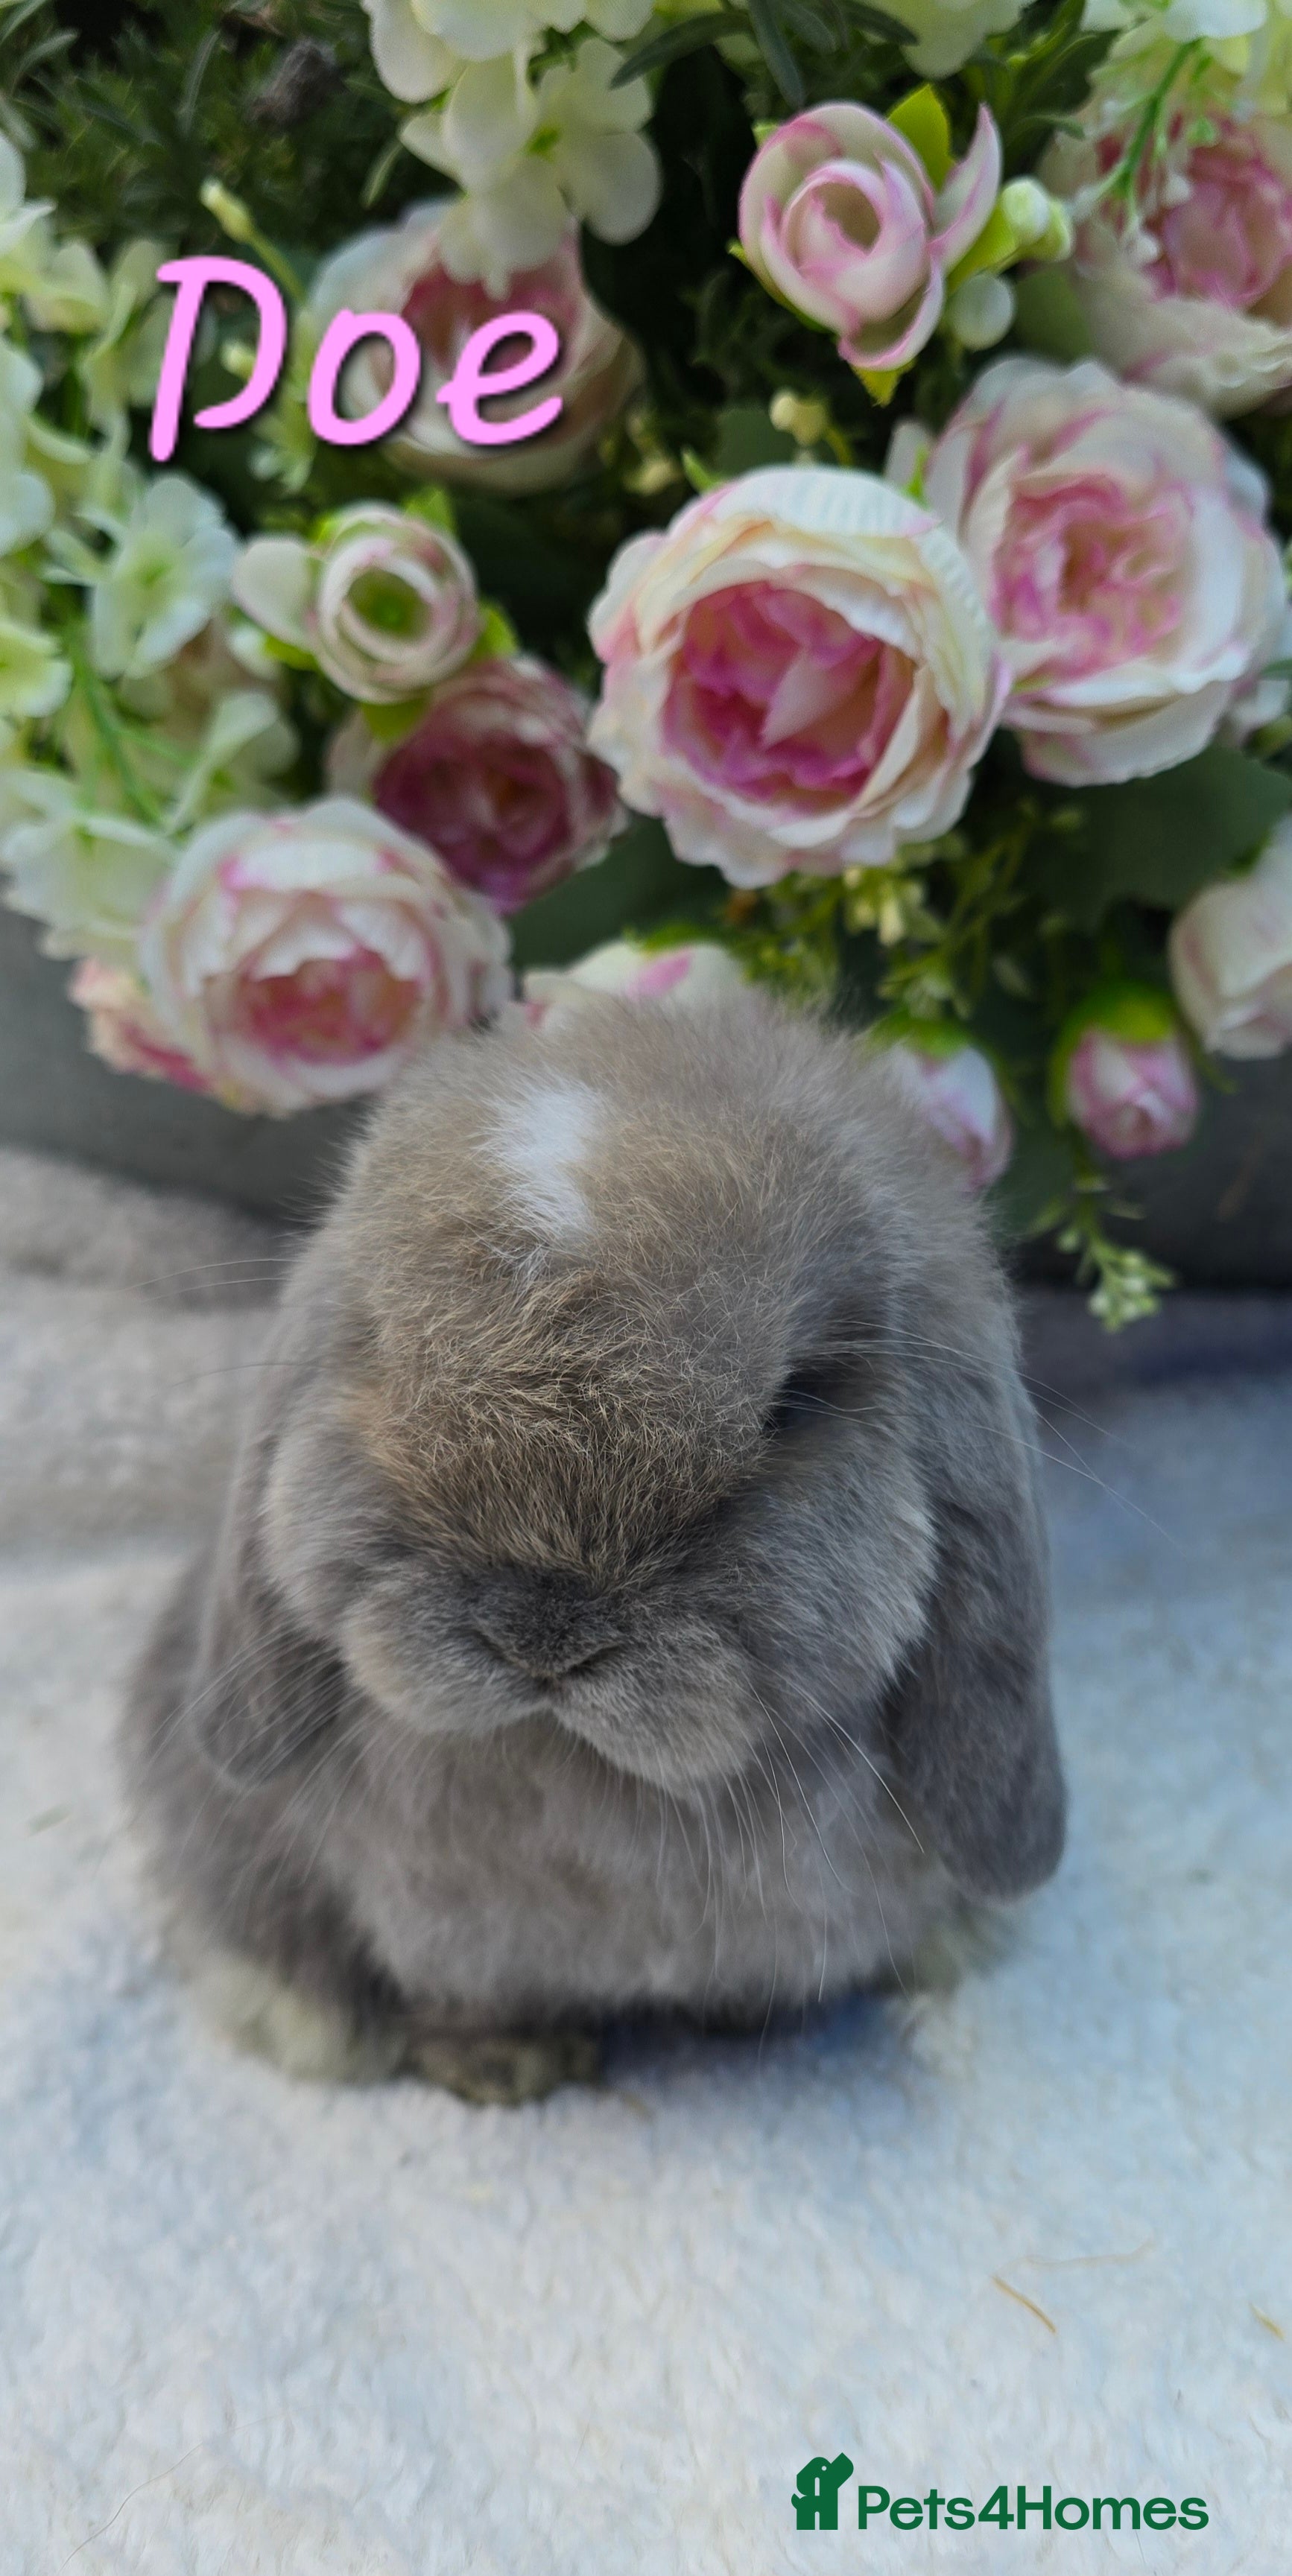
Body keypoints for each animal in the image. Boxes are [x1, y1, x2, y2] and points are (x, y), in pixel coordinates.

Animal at [123, 988, 1064, 2104]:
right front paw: (505, 2066)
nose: (541, 1633)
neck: (578, 1768)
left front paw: (742, 2017)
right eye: (381, 1348)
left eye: (794, 1402)